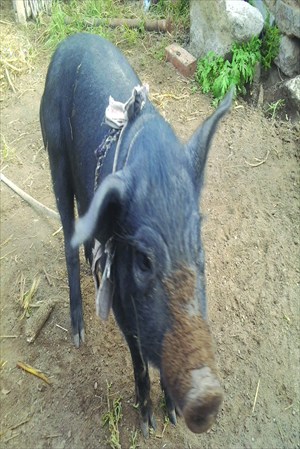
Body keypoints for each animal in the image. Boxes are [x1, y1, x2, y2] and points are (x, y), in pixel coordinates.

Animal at [39, 33, 232, 436]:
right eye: (144, 260)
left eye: (198, 247)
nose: (207, 395)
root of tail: (71, 39)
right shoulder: (122, 303)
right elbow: (140, 358)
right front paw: (147, 426)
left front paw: (171, 416)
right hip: (55, 152)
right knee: (68, 236)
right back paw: (78, 333)